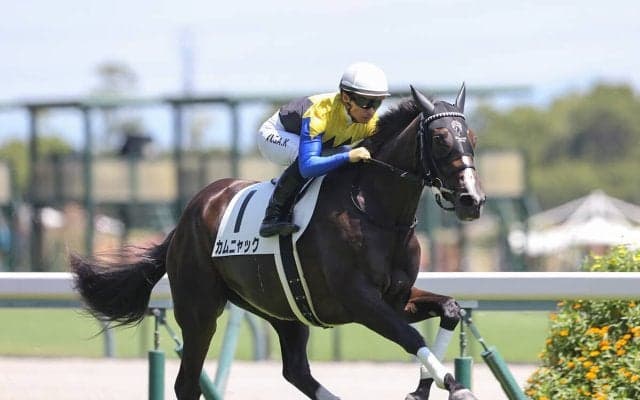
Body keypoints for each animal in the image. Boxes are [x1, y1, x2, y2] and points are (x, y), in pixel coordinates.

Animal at [71, 84, 486, 400]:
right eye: (439, 138)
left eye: (472, 139)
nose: (472, 199)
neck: (377, 212)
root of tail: (185, 218)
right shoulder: (359, 300)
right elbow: (410, 336)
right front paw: (456, 387)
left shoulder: (396, 298)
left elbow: (450, 310)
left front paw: (421, 390)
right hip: (199, 310)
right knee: (187, 383)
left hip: (282, 308)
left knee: (296, 370)